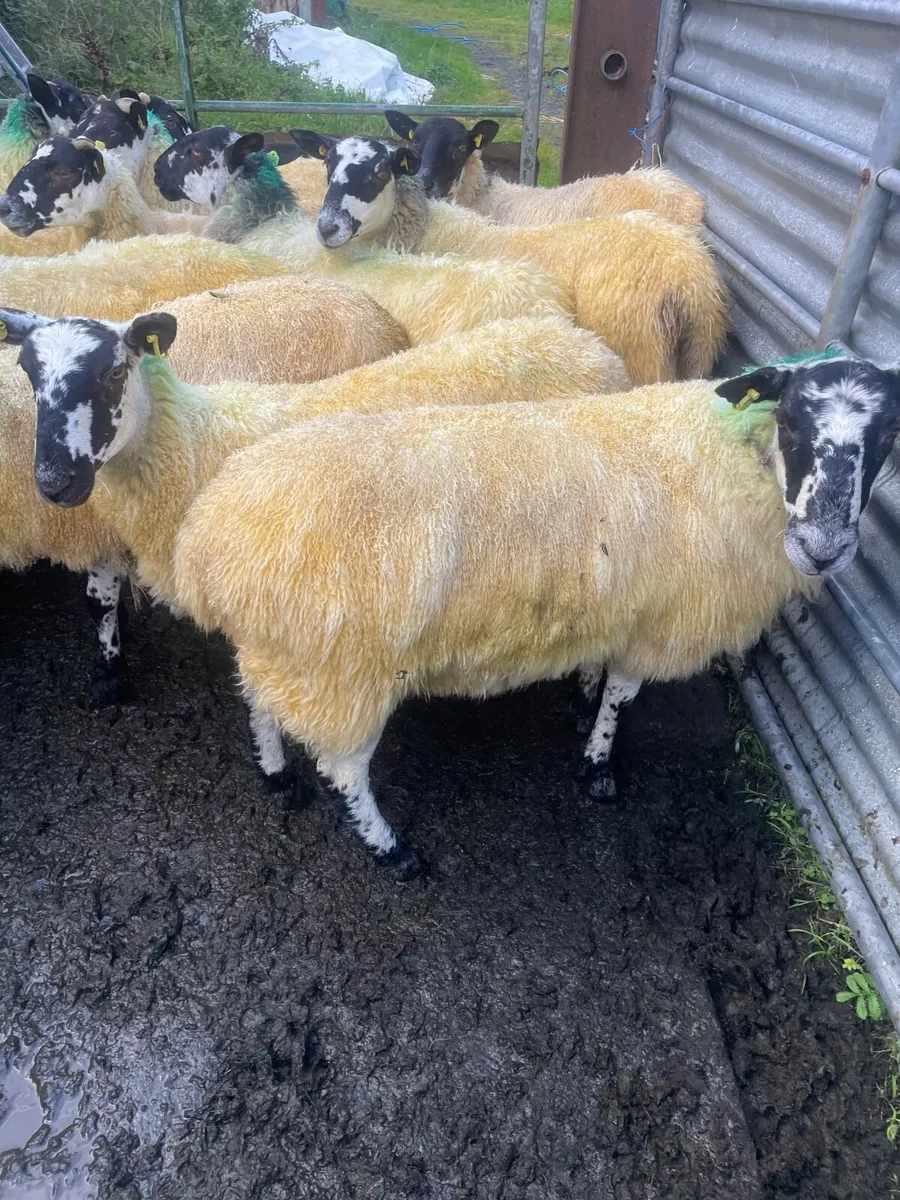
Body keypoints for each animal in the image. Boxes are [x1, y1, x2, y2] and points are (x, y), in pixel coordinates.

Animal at [7, 308, 629, 792]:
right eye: (28, 373)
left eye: (115, 370)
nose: (55, 482)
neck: (194, 444)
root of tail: (586, 343)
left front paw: (279, 773)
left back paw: (586, 708)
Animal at [165, 354, 900, 879]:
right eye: (792, 424)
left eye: (889, 435)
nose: (824, 548)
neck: (729, 457)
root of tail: (206, 546)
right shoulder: (662, 620)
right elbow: (623, 696)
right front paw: (597, 766)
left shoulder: (620, 602)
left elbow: (600, 670)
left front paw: (580, 697)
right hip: (345, 670)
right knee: (345, 771)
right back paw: (392, 850)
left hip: (284, 656)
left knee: (259, 704)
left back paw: (275, 775)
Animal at [292, 132, 727, 384]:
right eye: (328, 164)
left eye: (381, 171)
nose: (327, 227)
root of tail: (691, 280)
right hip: (697, 354)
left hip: (643, 356)